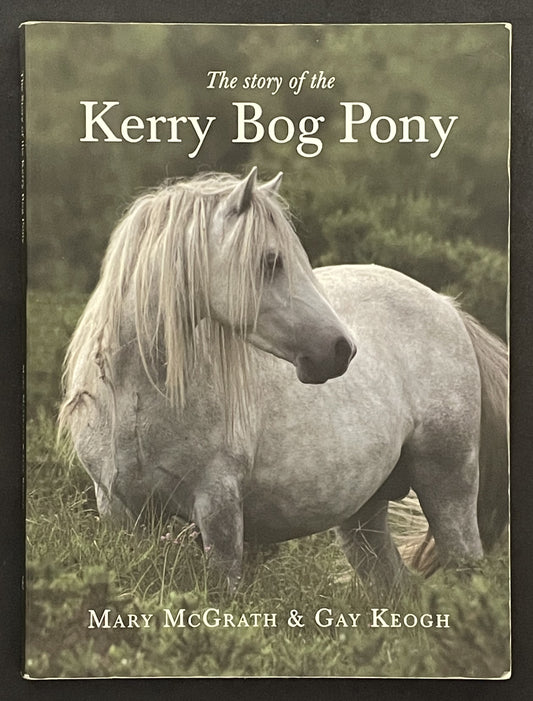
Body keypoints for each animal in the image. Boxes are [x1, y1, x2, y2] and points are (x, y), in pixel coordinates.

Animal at [59, 167, 508, 592]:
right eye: (272, 260)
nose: (341, 350)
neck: (138, 398)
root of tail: (447, 307)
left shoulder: (219, 507)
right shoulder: (119, 511)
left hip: (448, 486)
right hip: (364, 514)